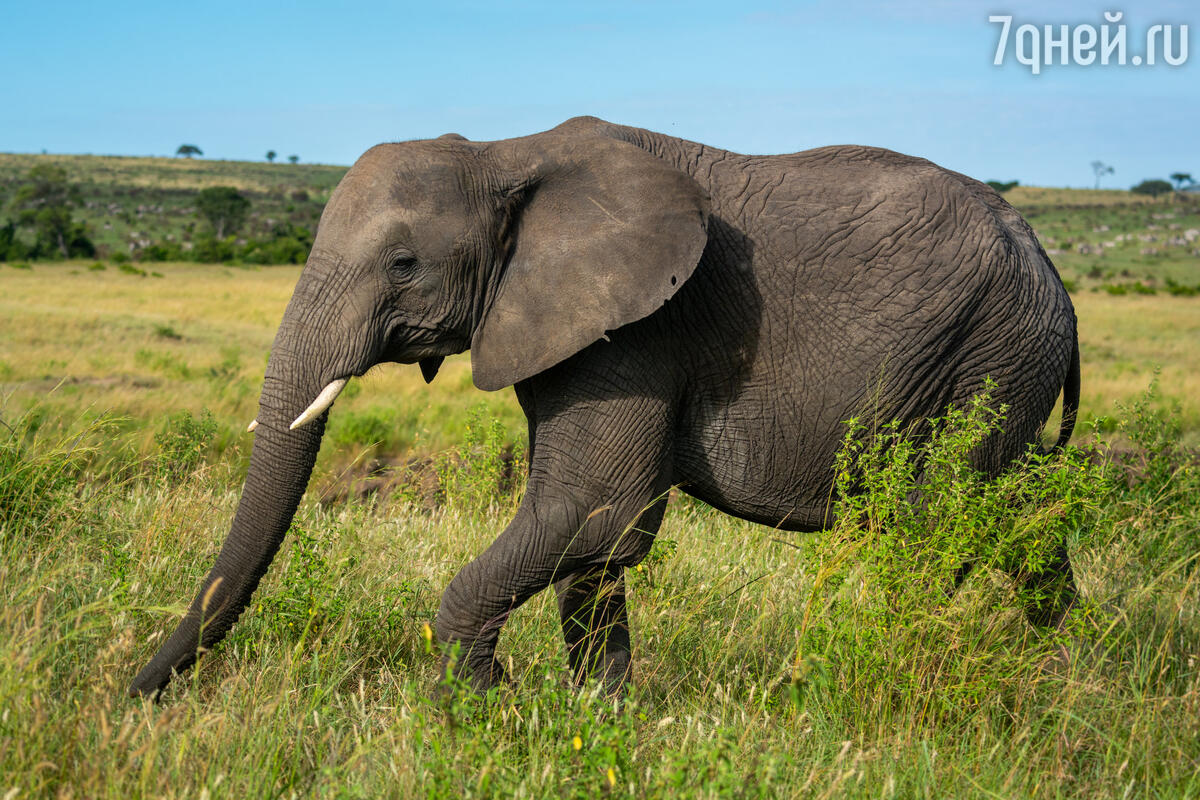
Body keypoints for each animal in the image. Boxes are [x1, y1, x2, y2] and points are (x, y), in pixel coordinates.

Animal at [126, 115, 1084, 695]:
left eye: (402, 265)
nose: (136, 694)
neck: (502, 154)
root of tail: (1050, 266)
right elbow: (589, 539)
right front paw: (596, 714)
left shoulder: (640, 332)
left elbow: (591, 513)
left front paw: (487, 708)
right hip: (1006, 359)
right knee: (1017, 519)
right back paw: (1062, 672)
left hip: (988, 355)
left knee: (932, 527)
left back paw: (886, 676)